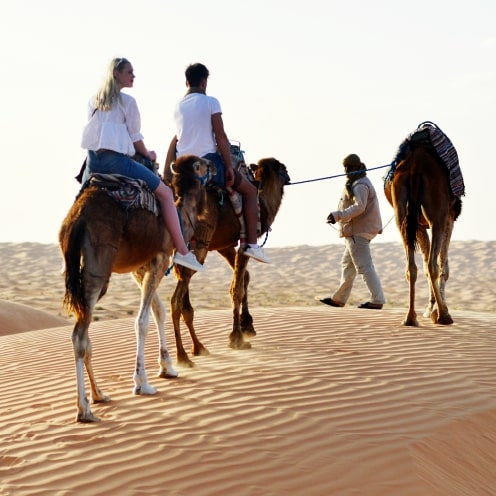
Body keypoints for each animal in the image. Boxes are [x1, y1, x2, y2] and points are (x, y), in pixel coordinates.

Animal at [58, 156, 215, 422]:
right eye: (201, 163)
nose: (214, 166)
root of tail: (75, 218)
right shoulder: (160, 259)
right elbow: (142, 321)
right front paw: (142, 383)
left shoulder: (140, 268)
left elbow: (158, 311)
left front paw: (168, 368)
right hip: (99, 265)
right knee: (79, 335)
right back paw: (84, 410)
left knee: (84, 333)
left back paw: (99, 395)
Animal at [167, 157, 290, 366]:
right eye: (283, 168)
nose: (289, 176)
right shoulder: (245, 240)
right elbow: (236, 288)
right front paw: (237, 338)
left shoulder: (224, 245)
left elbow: (244, 277)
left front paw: (247, 325)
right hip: (198, 244)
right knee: (176, 300)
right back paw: (183, 356)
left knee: (184, 302)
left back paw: (198, 348)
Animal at [384, 141, 462, 328]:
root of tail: (415, 167)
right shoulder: (449, 218)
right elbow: (443, 266)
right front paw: (436, 310)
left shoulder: (418, 226)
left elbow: (425, 263)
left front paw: (430, 309)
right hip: (437, 217)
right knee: (433, 265)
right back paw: (444, 316)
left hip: (402, 216)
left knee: (412, 267)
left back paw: (410, 317)